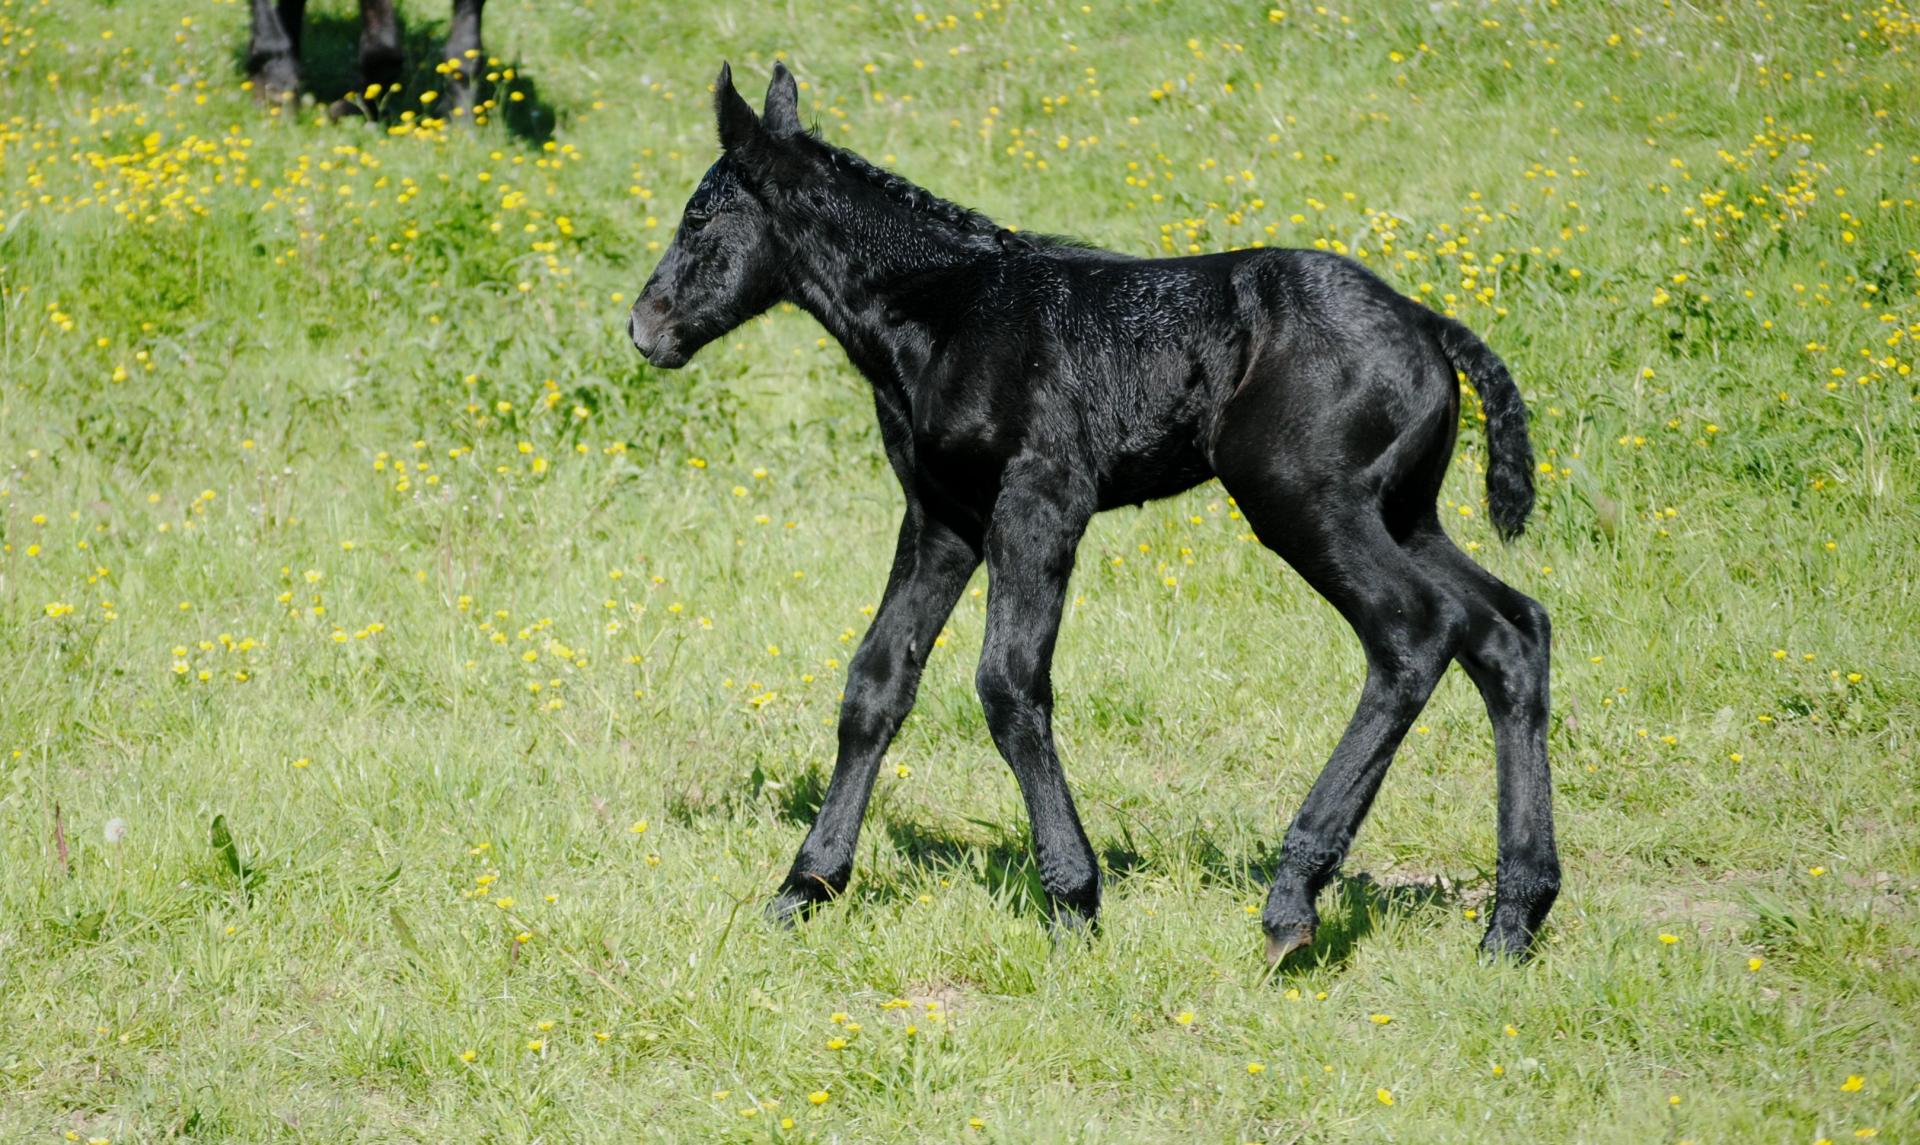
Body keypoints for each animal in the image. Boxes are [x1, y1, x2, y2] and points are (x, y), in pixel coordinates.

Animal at [629, 60, 1559, 956]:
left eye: (701, 219)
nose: (644, 326)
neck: (950, 314)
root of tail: (1428, 324)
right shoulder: (942, 515)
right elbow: (876, 681)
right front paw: (805, 886)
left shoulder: (1042, 499)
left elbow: (1008, 682)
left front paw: (1074, 898)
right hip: (1403, 513)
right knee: (1509, 630)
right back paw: (1513, 917)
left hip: (1305, 501)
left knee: (1414, 630)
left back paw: (1293, 897)